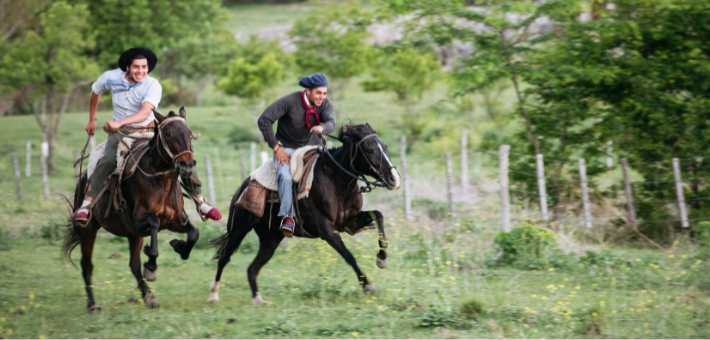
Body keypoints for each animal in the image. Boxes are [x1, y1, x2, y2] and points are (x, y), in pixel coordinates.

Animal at [62, 107, 200, 312]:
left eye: (189, 133)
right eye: (168, 133)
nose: (187, 165)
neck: (160, 180)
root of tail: (84, 177)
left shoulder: (174, 221)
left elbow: (193, 233)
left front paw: (179, 246)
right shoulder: (139, 219)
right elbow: (154, 223)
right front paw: (151, 266)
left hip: (133, 235)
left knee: (133, 265)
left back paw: (150, 299)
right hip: (89, 229)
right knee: (87, 264)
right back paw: (93, 305)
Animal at [209, 124, 404, 306]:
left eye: (385, 147)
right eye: (369, 150)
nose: (395, 179)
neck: (337, 182)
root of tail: (242, 188)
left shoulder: (350, 223)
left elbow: (379, 216)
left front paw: (382, 259)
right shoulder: (327, 230)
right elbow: (349, 256)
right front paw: (367, 285)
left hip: (270, 239)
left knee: (252, 269)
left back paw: (259, 300)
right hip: (238, 230)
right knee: (224, 258)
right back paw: (213, 295)